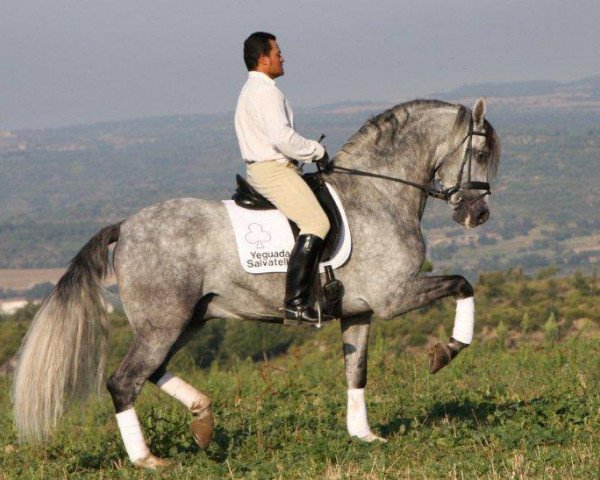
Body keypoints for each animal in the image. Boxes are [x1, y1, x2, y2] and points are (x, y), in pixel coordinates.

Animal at [12, 96, 502, 468]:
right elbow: (463, 284)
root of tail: (125, 227)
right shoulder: (393, 297)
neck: (379, 194)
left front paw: (364, 436)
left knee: (150, 371)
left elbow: (356, 371)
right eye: (479, 155)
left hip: (187, 319)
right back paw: (148, 459)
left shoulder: (360, 311)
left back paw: (202, 419)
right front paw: (445, 352)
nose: (478, 215)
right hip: (163, 323)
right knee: (124, 381)